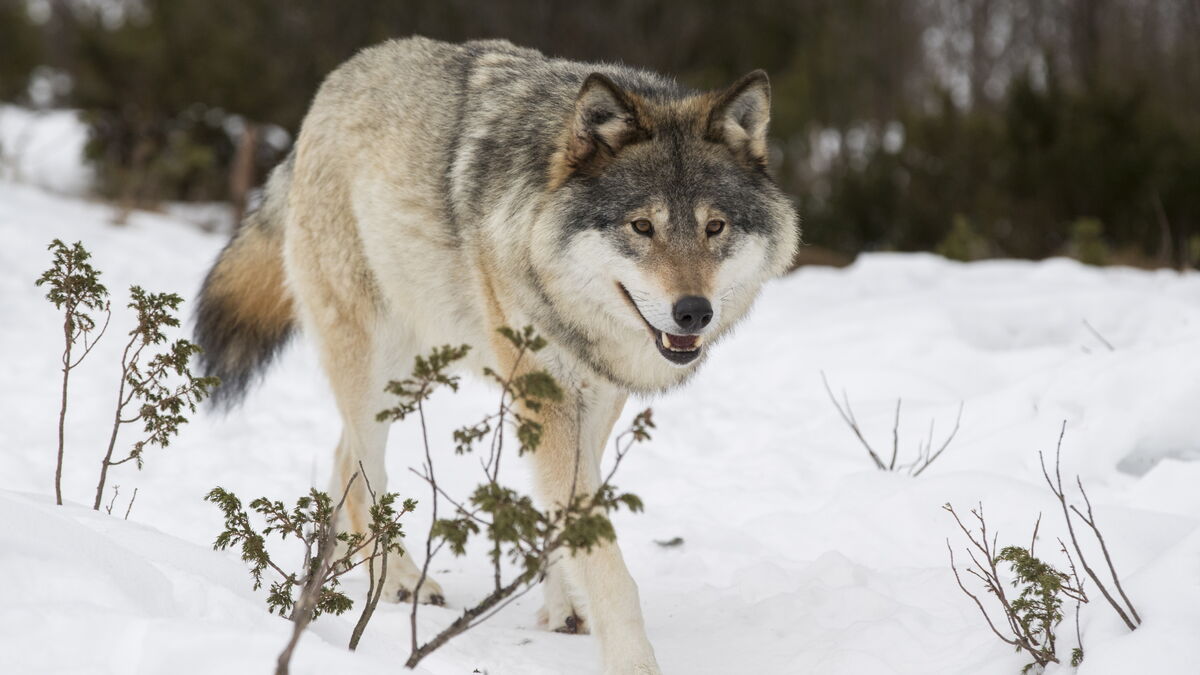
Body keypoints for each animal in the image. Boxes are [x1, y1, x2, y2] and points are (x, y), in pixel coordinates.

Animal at [195, 36, 798, 673]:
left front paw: (564, 607)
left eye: (715, 227)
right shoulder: (550, 398)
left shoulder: (595, 399)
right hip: (377, 369)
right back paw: (398, 580)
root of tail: (336, 82)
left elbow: (566, 519)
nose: (693, 312)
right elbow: (605, 560)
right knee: (362, 470)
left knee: (340, 459)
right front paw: (633, 661)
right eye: (641, 226)